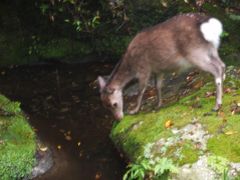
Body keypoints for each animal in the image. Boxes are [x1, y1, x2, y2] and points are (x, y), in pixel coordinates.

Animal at [97, 13, 225, 120]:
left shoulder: (144, 69)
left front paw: (134, 110)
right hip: (212, 49)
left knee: (216, 69)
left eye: (114, 104)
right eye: (105, 106)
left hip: (195, 53)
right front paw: (158, 104)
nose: (119, 118)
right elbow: (157, 86)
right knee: (222, 64)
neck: (131, 65)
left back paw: (217, 105)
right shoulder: (158, 70)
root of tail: (209, 25)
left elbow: (141, 90)